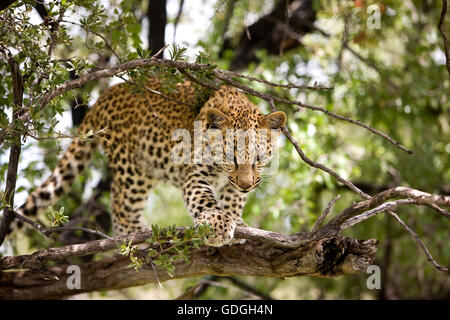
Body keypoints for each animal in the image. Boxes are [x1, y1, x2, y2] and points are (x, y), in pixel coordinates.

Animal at [10, 78, 286, 248]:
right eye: (231, 156)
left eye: (258, 158)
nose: (247, 185)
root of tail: (106, 95)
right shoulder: (196, 173)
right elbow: (204, 199)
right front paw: (217, 224)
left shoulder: (233, 184)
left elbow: (233, 199)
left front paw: (236, 222)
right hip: (134, 169)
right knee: (120, 204)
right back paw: (140, 235)